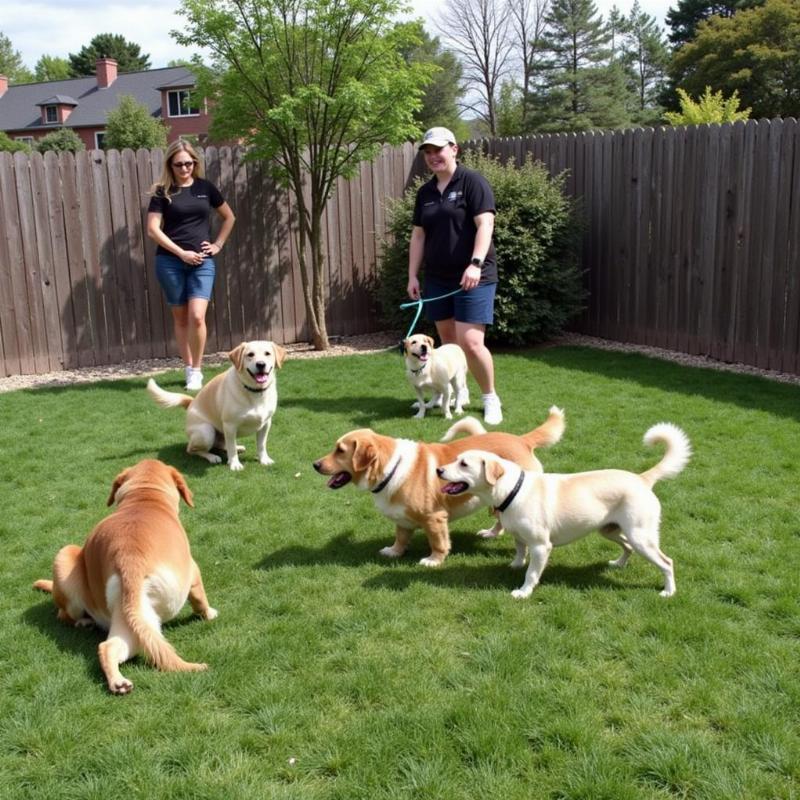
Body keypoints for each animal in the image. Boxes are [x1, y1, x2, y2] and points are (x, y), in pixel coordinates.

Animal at [33, 460, 217, 696]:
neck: (145, 496)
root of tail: (128, 561)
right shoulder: (193, 569)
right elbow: (200, 598)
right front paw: (210, 614)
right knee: (63, 615)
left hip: (129, 614)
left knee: (107, 646)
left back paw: (118, 681)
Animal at [147, 340, 288, 472]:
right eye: (250, 355)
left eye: (267, 353)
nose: (261, 364)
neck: (254, 392)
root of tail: (191, 402)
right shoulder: (230, 425)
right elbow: (231, 449)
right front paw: (235, 464)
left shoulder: (266, 424)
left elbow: (261, 445)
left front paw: (264, 459)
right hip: (206, 431)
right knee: (193, 449)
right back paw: (212, 457)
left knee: (222, 444)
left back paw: (238, 448)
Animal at [434, 424, 692, 600]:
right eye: (456, 459)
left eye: (464, 464)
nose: (438, 470)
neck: (513, 490)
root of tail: (642, 478)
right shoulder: (520, 536)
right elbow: (519, 552)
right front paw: (515, 565)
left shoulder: (541, 546)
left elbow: (531, 573)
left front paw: (523, 592)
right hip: (610, 530)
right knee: (627, 547)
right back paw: (618, 564)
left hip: (641, 537)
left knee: (667, 562)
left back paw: (668, 592)